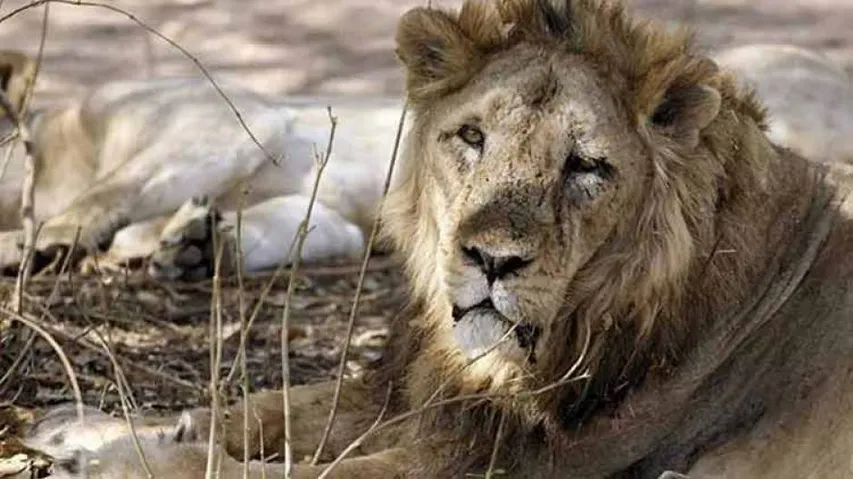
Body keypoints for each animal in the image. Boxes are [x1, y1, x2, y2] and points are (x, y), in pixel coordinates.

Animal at [0, 57, 403, 280]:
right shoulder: (333, 216)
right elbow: (295, 222)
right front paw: (197, 245)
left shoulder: (224, 120)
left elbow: (114, 188)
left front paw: (41, 242)